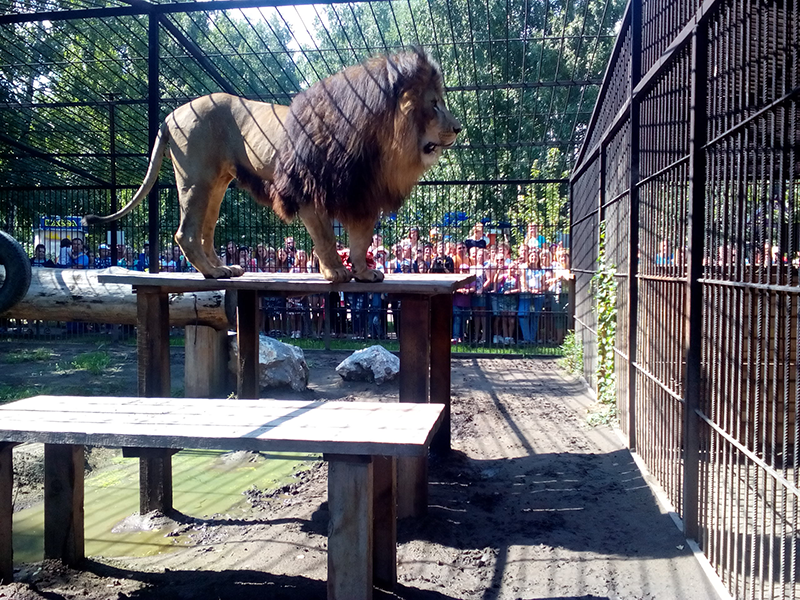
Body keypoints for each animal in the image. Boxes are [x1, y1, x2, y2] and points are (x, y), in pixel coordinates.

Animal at [83, 48, 460, 282]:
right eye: (434, 104)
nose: (458, 128)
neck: (381, 143)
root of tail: (169, 114)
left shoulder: (360, 193)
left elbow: (360, 239)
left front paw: (365, 273)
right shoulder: (306, 190)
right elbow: (326, 237)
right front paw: (336, 272)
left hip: (217, 184)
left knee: (205, 229)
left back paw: (224, 269)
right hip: (196, 178)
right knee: (186, 232)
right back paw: (212, 273)